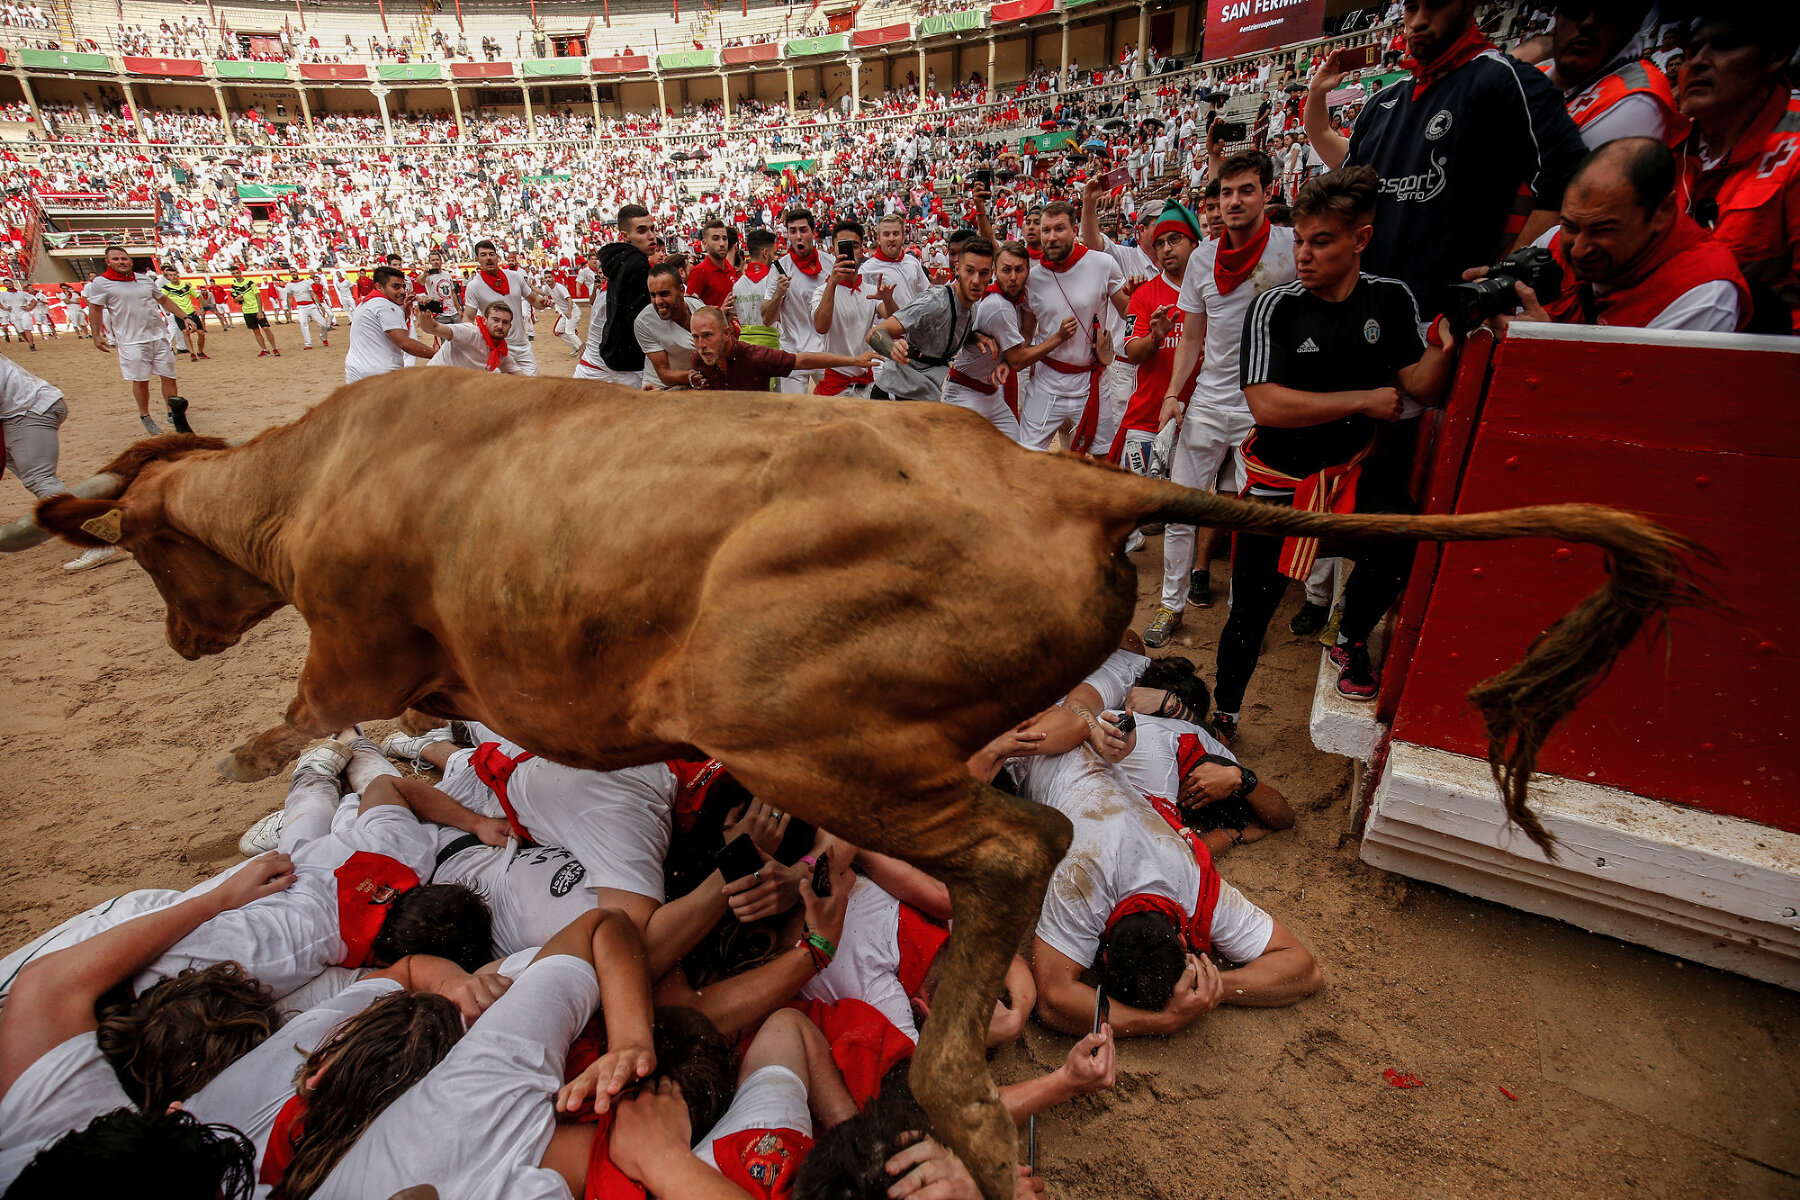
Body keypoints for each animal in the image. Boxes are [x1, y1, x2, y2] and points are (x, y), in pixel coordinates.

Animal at [0, 370, 1706, 1194]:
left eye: (150, 548)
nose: (183, 627)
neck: (316, 479)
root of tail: (1067, 477)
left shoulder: (352, 652)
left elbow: (301, 730)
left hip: (788, 713)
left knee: (1013, 844)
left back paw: (963, 1106)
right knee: (1021, 830)